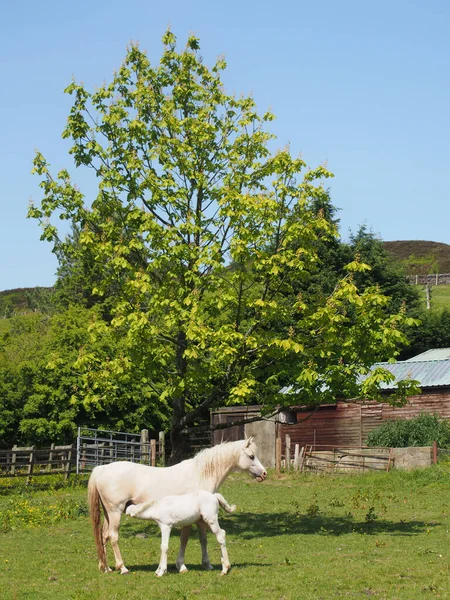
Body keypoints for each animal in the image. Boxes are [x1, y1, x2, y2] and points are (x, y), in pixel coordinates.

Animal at [87, 438, 268, 576]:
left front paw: (206, 564)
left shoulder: (200, 518)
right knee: (113, 536)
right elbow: (185, 539)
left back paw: (106, 567)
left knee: (104, 535)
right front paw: (181, 566)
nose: (264, 474)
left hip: (108, 513)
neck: (200, 474)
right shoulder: (191, 518)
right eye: (251, 456)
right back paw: (122, 568)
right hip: (115, 512)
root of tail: (102, 469)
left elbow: (202, 539)